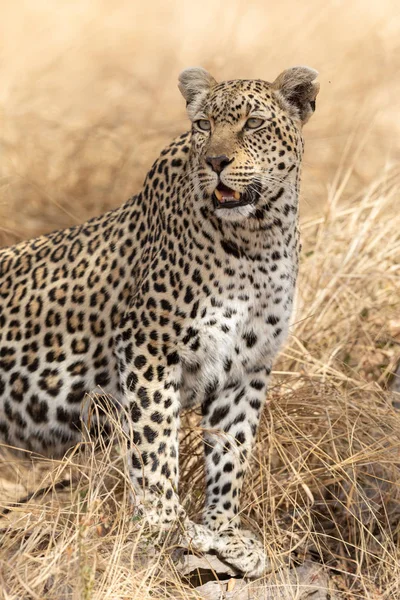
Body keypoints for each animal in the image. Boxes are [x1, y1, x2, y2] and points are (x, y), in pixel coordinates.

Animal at [0, 65, 318, 576]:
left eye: (253, 123)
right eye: (204, 125)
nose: (217, 161)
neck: (258, 237)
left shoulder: (248, 367)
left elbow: (231, 451)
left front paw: (225, 533)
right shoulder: (148, 346)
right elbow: (154, 444)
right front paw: (167, 525)